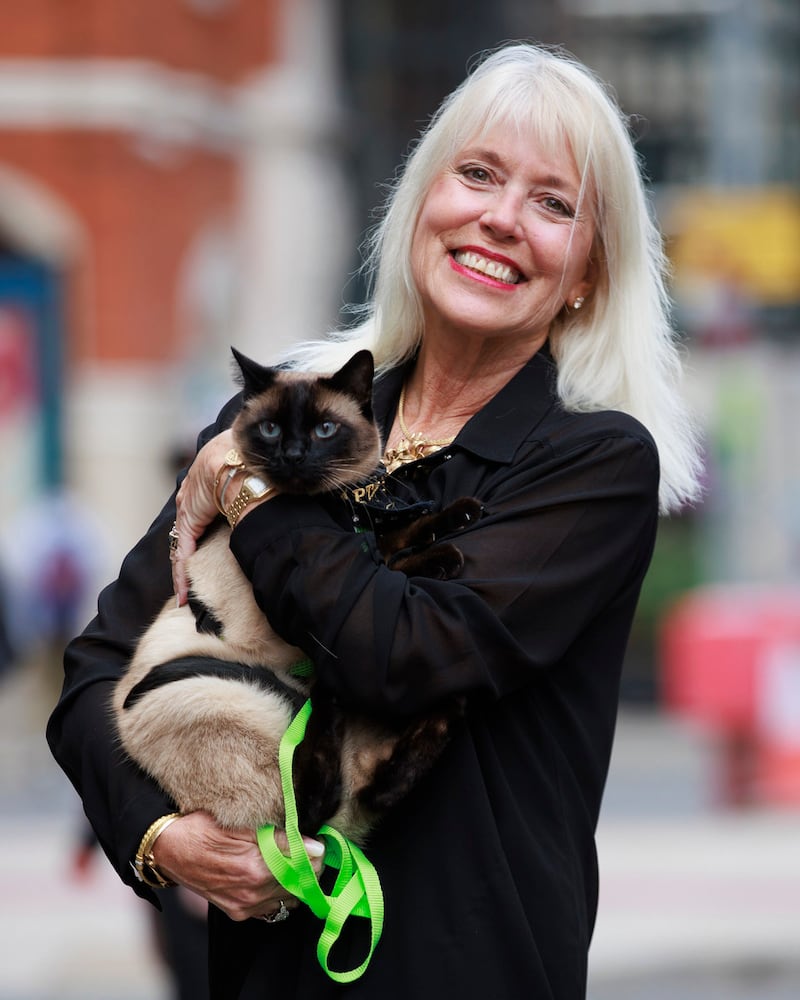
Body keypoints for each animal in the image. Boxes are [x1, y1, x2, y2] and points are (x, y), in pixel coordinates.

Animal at [113, 350, 482, 844]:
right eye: (271, 429)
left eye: (324, 429)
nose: (293, 455)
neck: (335, 507)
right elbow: (392, 560)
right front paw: (444, 555)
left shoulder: (361, 541)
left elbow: (401, 535)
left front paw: (461, 514)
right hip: (228, 692)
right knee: (312, 805)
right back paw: (332, 698)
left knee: (371, 790)